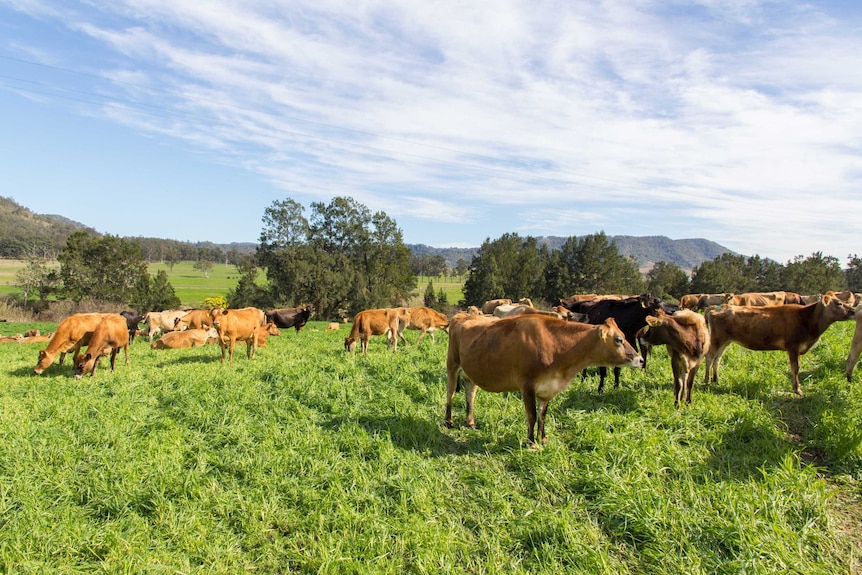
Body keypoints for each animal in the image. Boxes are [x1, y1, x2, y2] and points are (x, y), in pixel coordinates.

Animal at [448, 312, 644, 448]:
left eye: (624, 336)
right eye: (619, 339)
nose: (640, 359)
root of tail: (463, 315)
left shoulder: (548, 389)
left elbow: (542, 416)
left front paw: (543, 439)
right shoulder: (527, 384)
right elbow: (532, 415)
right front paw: (531, 443)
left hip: (470, 373)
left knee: (470, 395)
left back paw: (470, 422)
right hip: (452, 365)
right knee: (450, 394)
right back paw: (448, 422)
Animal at [704, 292, 860, 396]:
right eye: (839, 303)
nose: (853, 311)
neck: (807, 320)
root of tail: (715, 307)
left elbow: (797, 367)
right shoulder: (793, 346)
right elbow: (795, 368)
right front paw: (798, 390)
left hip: (726, 340)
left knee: (717, 359)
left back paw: (716, 379)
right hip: (717, 338)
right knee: (710, 357)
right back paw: (707, 380)